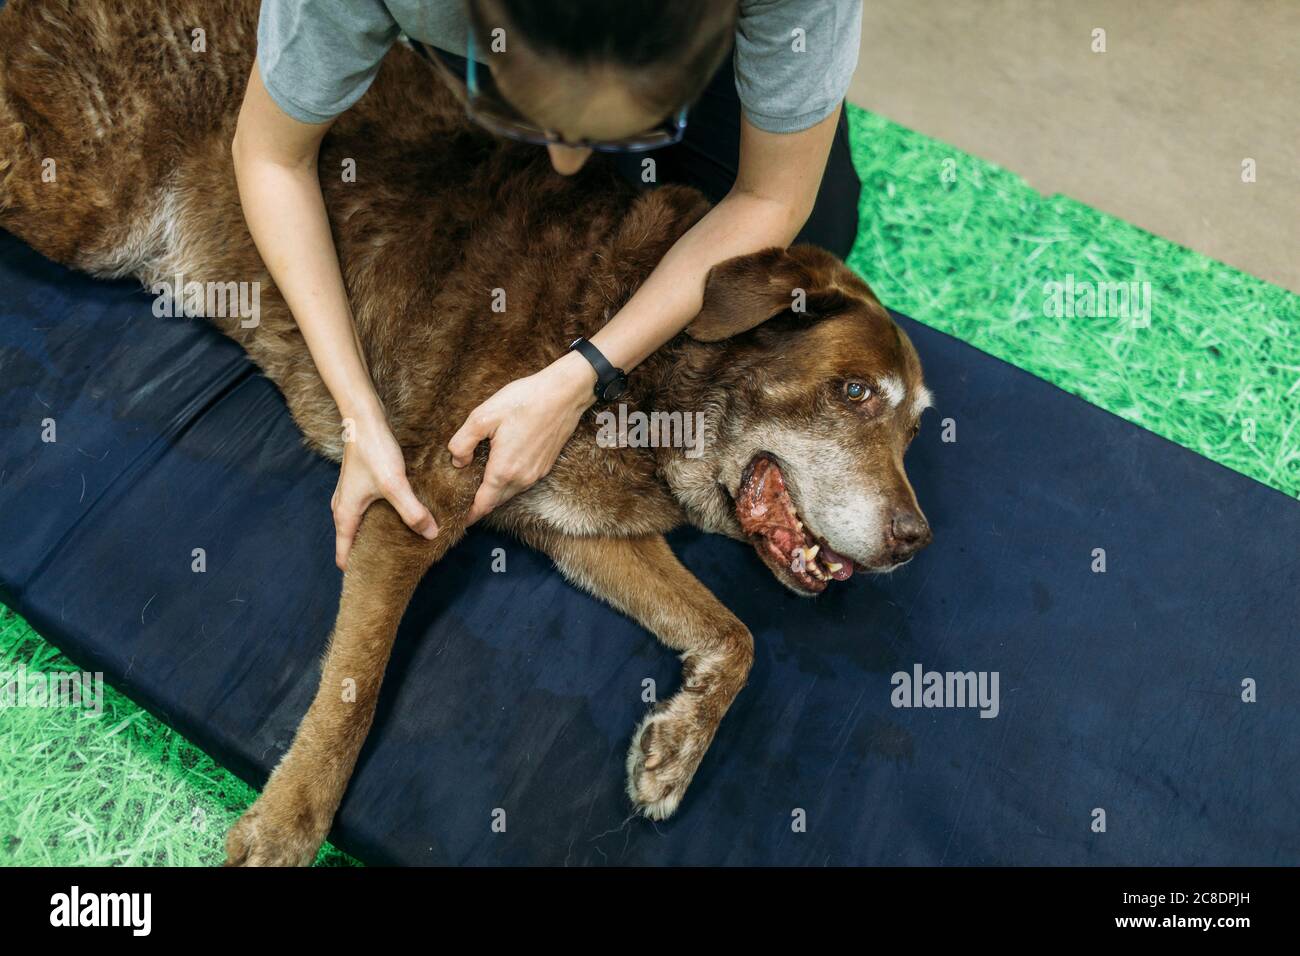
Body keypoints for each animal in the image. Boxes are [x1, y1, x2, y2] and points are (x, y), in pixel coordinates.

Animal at [2, 0, 935, 868]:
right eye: (854, 392)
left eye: (916, 429)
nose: (916, 541)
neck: (657, 386)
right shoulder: (410, 506)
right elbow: (354, 691)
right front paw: (288, 825)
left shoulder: (587, 533)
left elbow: (735, 635)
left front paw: (675, 747)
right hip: (84, 201)